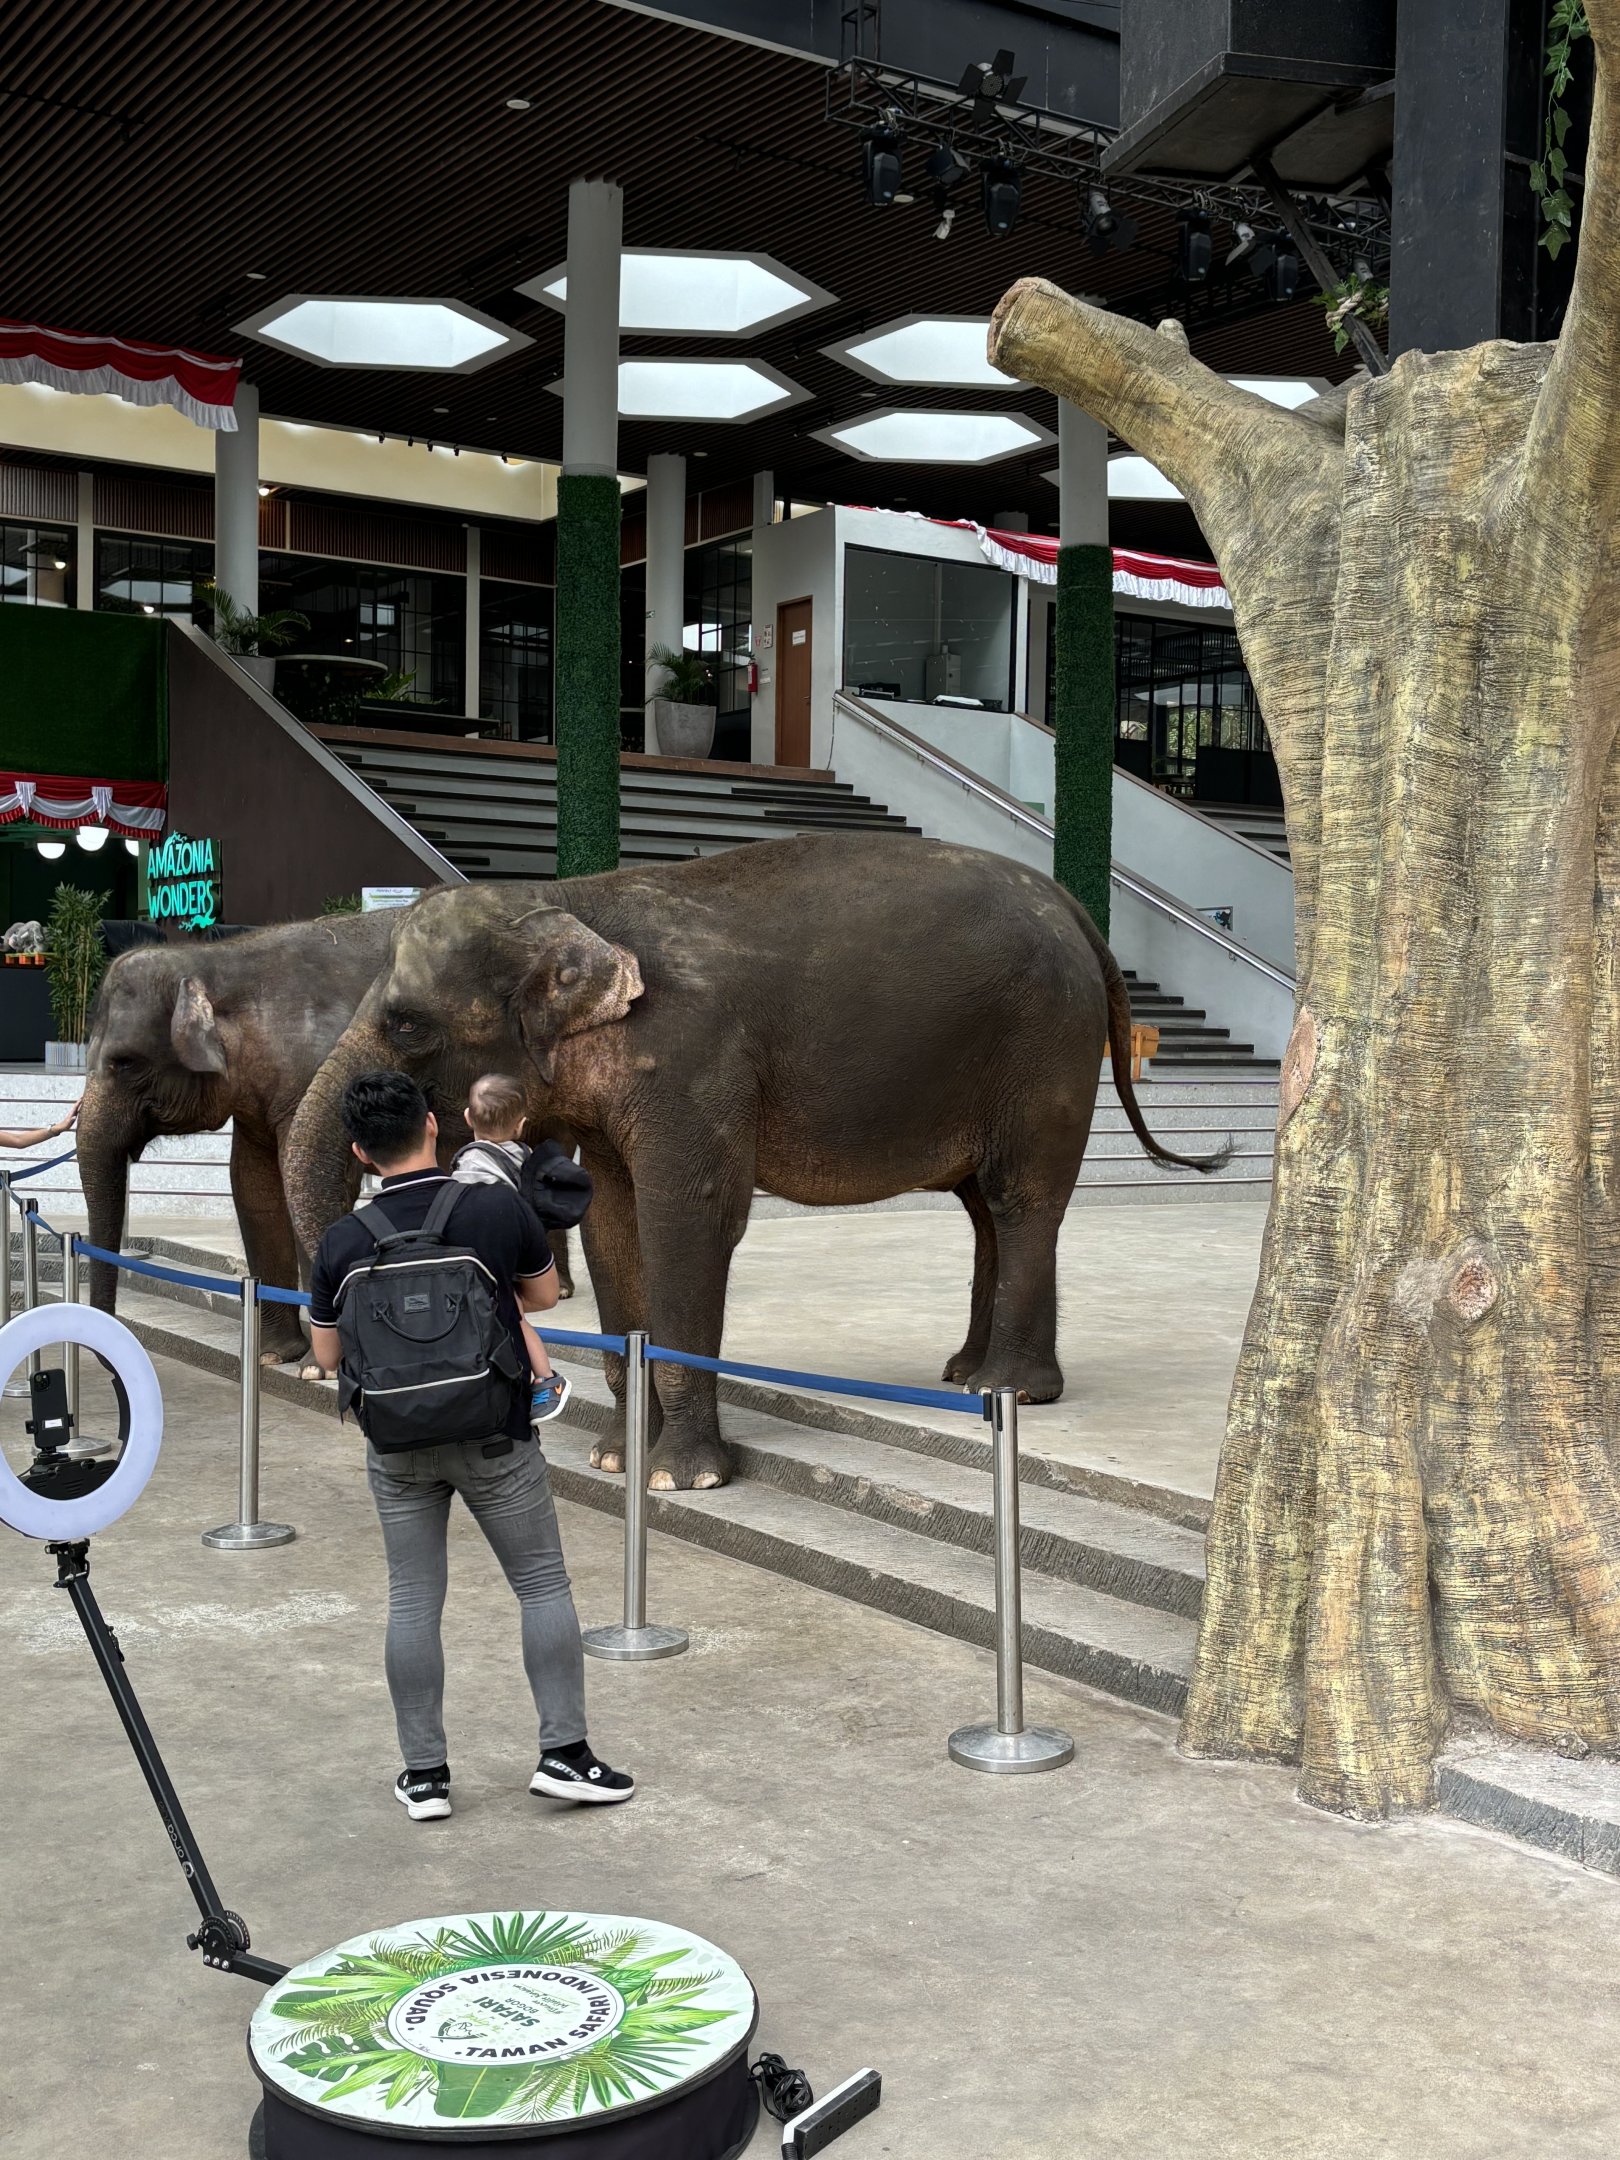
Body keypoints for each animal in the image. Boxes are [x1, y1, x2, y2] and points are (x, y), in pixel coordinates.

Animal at [285, 835, 1221, 1489]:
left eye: (406, 1025)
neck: (569, 898)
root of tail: (1074, 910)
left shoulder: (692, 1061)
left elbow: (690, 1219)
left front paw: (681, 1478)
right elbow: (614, 1226)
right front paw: (615, 1462)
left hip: (1045, 1050)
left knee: (1019, 1196)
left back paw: (1010, 1393)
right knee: (983, 1207)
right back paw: (963, 1377)